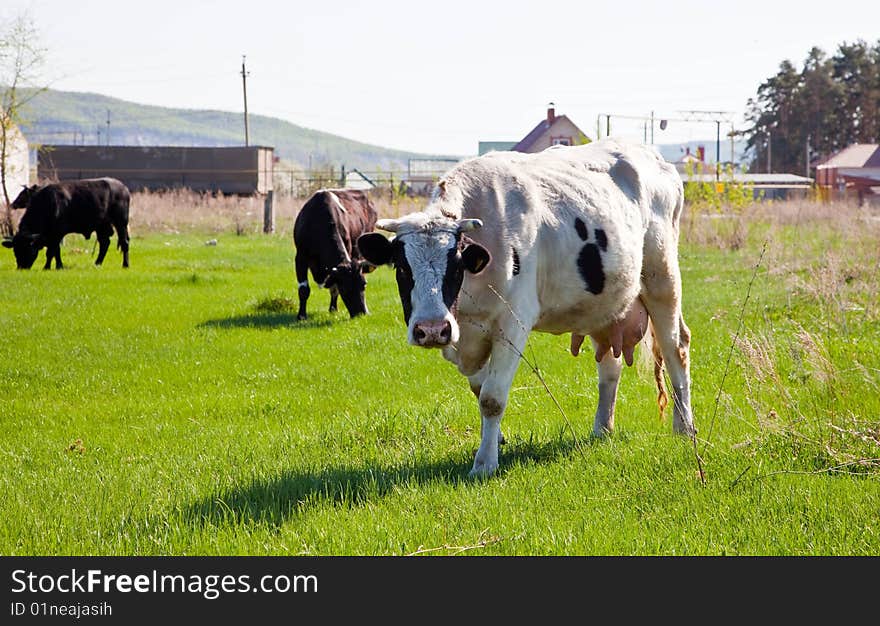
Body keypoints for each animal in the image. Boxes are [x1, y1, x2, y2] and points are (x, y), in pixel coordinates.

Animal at [2, 178, 131, 270]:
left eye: (27, 248)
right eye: (15, 250)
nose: (21, 268)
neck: (49, 204)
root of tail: (124, 188)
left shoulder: (57, 234)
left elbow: (52, 251)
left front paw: (50, 267)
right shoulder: (50, 236)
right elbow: (54, 251)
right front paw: (55, 266)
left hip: (121, 223)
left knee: (124, 242)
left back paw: (125, 265)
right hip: (102, 226)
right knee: (104, 243)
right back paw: (97, 264)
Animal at [296, 188, 378, 320]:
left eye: (364, 285)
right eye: (344, 288)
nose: (361, 314)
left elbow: (334, 289)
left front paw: (333, 309)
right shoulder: (300, 256)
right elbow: (303, 289)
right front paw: (302, 316)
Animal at [358, 139, 696, 476]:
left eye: (456, 266)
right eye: (402, 268)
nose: (431, 330)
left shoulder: (513, 322)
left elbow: (492, 397)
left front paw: (485, 463)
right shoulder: (465, 335)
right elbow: (479, 389)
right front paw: (495, 440)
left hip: (662, 279)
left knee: (676, 348)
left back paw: (684, 427)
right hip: (606, 306)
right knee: (610, 367)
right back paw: (602, 428)